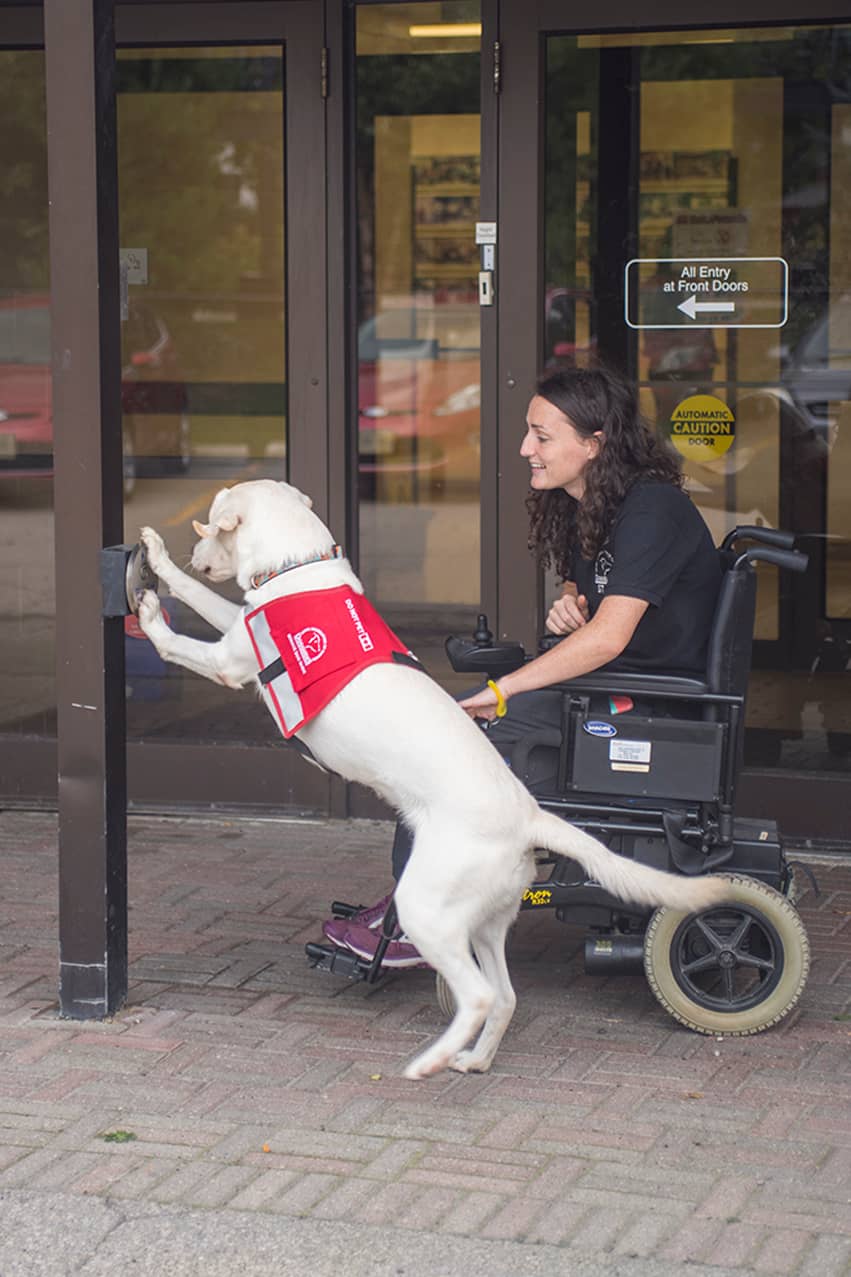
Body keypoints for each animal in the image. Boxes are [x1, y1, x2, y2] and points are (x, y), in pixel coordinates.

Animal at [139, 480, 730, 1077]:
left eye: (211, 524)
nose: (194, 551)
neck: (296, 568)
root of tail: (531, 815)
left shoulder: (229, 662)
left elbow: (177, 642)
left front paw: (148, 613)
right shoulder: (240, 626)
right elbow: (200, 596)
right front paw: (159, 561)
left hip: (427, 908)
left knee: (480, 996)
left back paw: (431, 1061)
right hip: (486, 921)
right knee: (506, 995)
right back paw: (473, 1061)